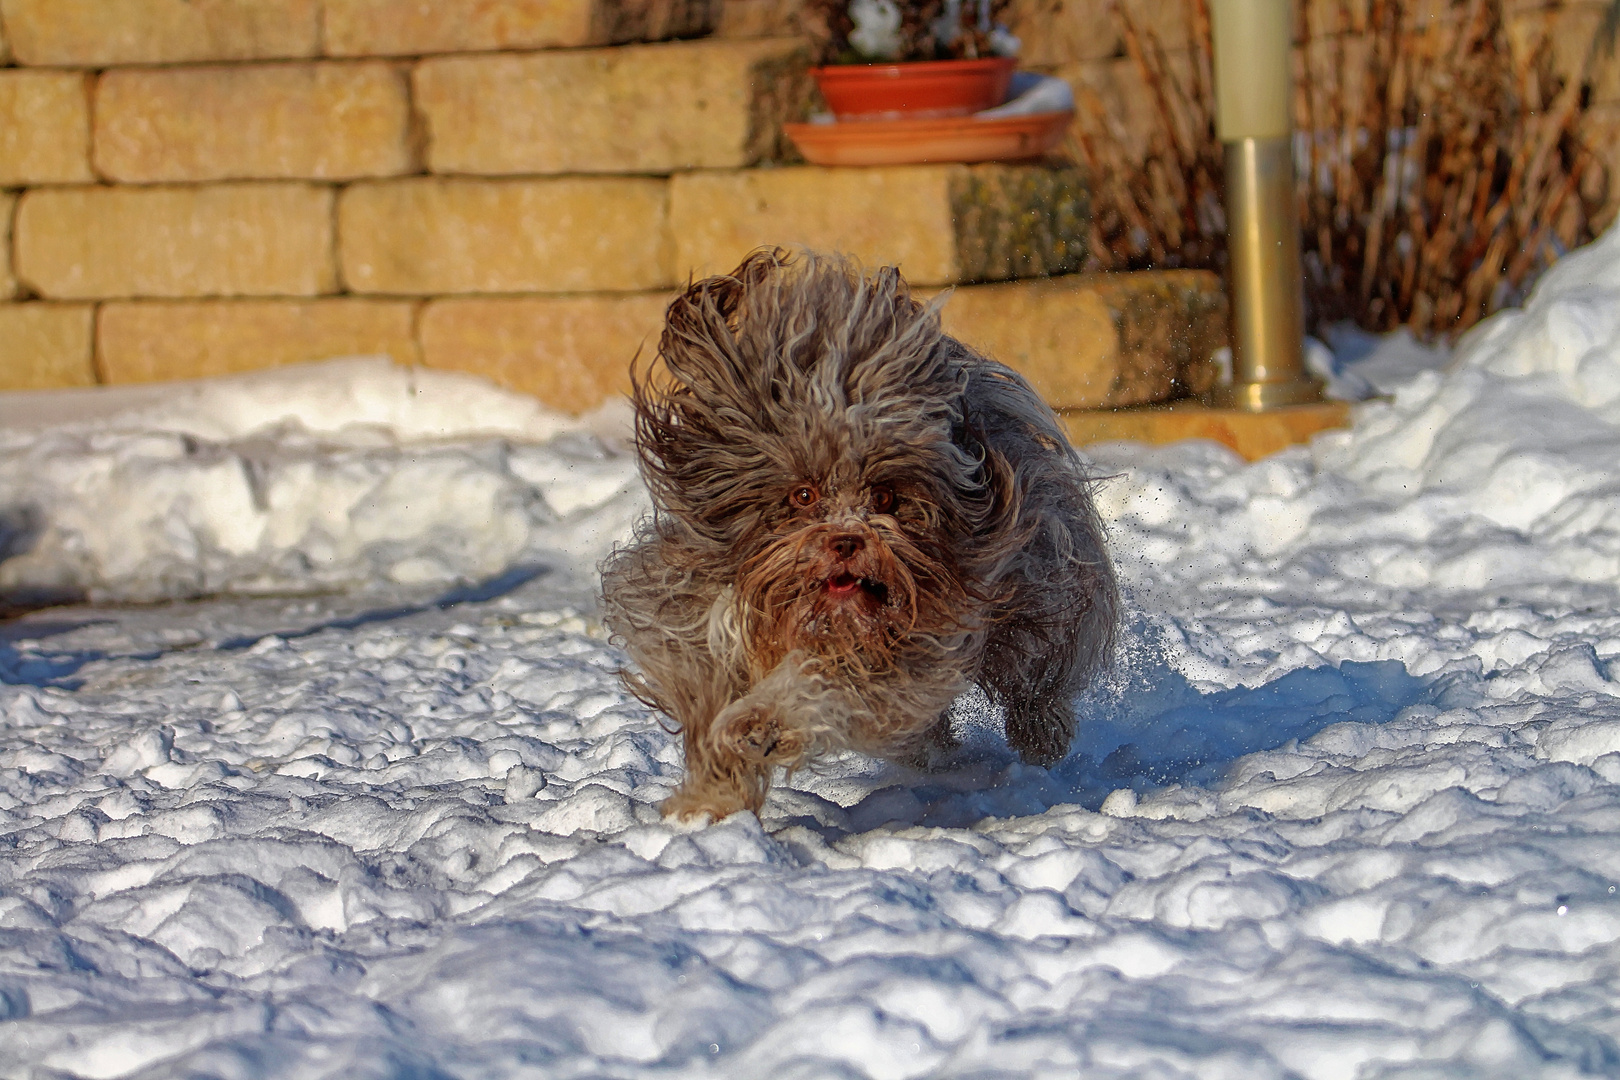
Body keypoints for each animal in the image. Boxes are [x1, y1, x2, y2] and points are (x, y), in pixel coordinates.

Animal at [602, 250, 1121, 819]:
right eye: (803, 495)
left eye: (886, 497)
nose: (847, 541)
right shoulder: (695, 623)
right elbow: (707, 698)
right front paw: (710, 801)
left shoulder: (917, 638)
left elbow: (827, 681)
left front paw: (765, 723)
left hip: (1040, 583)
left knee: (1037, 669)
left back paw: (1040, 733)